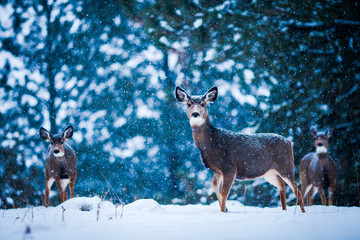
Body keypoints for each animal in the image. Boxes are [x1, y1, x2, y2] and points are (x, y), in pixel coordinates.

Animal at [176, 85, 306, 213]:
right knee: (281, 185)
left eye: (203, 103)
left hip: (285, 165)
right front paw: (225, 209)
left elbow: (224, 193)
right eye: (189, 103)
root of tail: (290, 142)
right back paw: (284, 209)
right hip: (269, 172)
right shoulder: (217, 170)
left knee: (296, 188)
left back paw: (302, 212)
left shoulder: (230, 167)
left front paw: (223, 211)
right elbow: (215, 187)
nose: (195, 114)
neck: (211, 143)